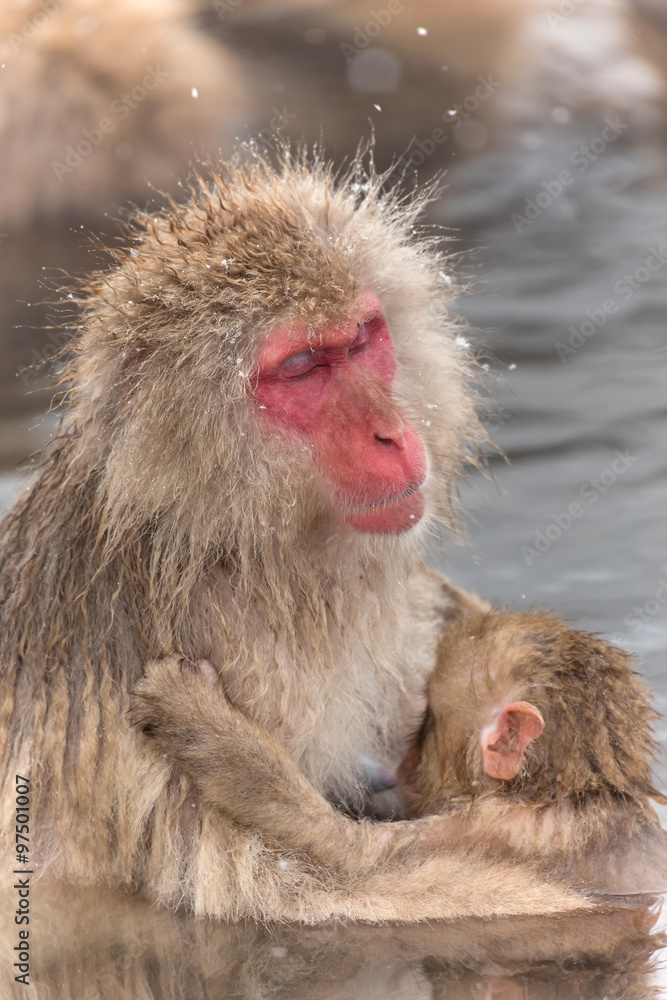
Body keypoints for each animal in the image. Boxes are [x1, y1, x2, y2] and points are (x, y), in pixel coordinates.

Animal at [0, 149, 590, 922]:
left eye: (362, 338)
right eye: (303, 368)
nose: (391, 434)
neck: (228, 541)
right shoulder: (193, 646)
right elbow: (280, 888)